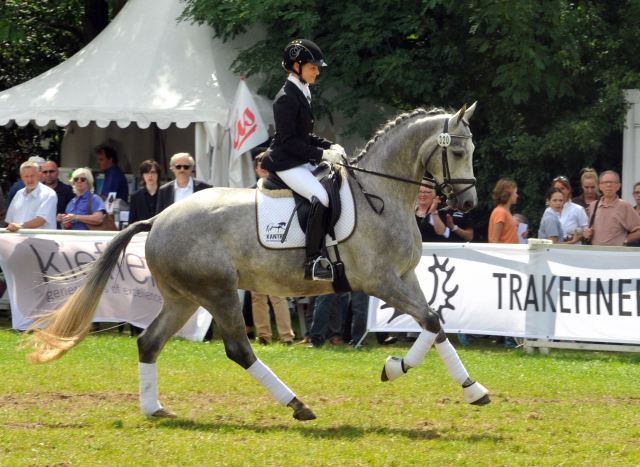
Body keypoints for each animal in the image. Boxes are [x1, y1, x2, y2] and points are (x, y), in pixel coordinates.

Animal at [22, 104, 488, 422]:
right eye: (458, 152)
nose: (467, 205)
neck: (382, 195)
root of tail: (159, 218)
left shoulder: (404, 275)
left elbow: (435, 322)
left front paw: (464, 386)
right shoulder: (379, 281)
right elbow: (430, 320)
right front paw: (403, 369)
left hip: (183, 298)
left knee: (149, 342)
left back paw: (155, 409)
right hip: (218, 292)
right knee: (238, 349)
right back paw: (298, 404)